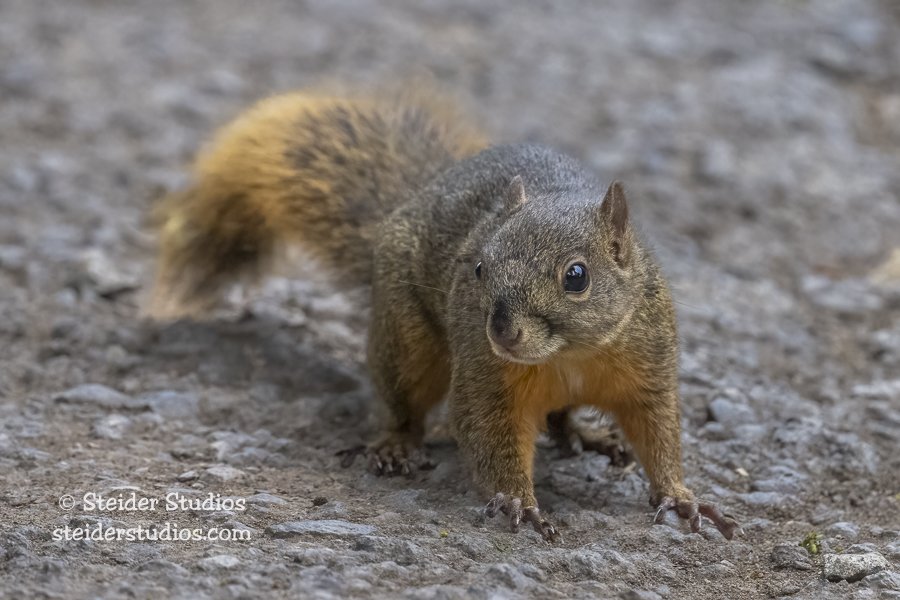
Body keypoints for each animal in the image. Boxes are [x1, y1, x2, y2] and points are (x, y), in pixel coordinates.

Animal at [149, 86, 740, 541]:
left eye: (577, 276)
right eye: (478, 267)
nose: (501, 330)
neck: (569, 355)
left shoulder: (647, 364)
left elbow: (657, 432)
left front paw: (681, 497)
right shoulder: (486, 376)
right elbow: (487, 431)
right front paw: (518, 502)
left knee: (560, 417)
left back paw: (585, 436)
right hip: (405, 339)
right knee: (404, 401)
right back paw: (396, 446)